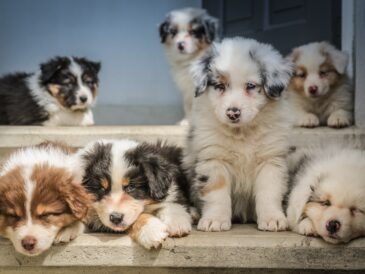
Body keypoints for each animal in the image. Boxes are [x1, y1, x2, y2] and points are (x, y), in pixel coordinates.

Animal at [183, 37, 292, 232]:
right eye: (220, 86)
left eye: (250, 86)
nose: (233, 113)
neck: (242, 132)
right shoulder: (214, 159)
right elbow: (216, 193)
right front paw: (215, 220)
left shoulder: (270, 160)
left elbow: (269, 191)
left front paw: (273, 219)